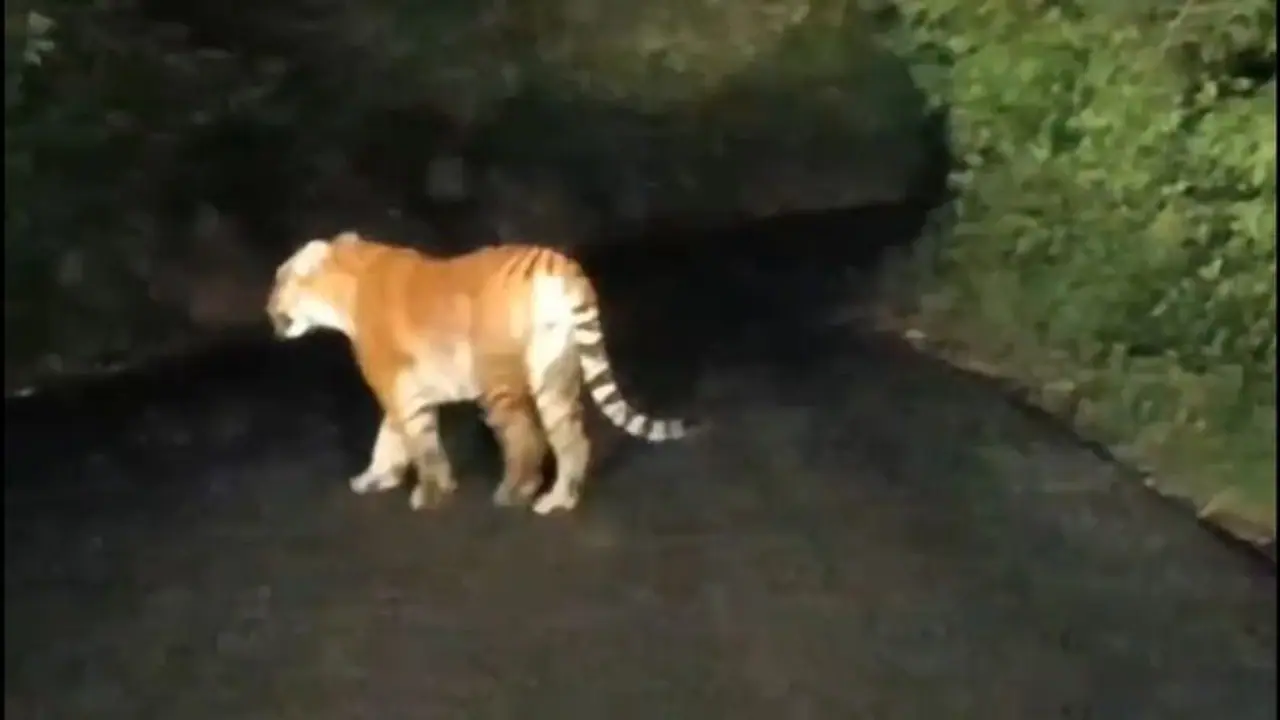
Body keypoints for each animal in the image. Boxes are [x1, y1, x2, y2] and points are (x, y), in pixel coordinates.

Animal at [266, 230, 693, 515]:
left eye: (279, 281)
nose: (267, 309)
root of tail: (555, 261)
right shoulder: (403, 388)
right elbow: (389, 437)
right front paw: (376, 479)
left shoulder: (396, 386)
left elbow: (417, 441)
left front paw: (430, 493)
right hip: (554, 375)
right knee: (572, 440)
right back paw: (558, 500)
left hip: (497, 381)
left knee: (525, 437)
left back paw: (515, 493)